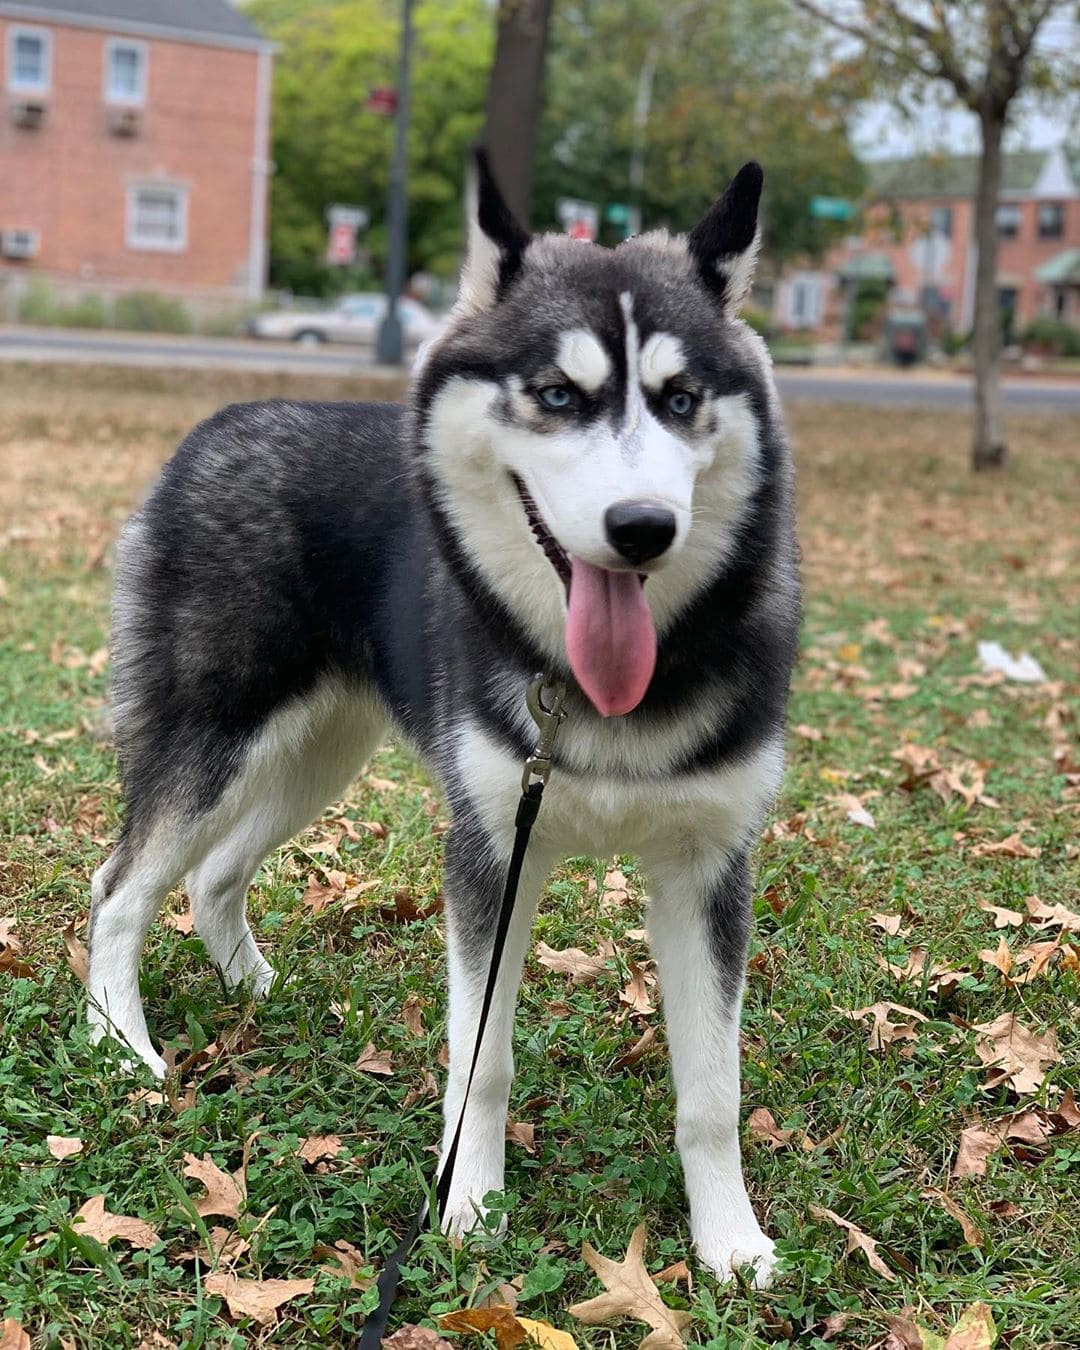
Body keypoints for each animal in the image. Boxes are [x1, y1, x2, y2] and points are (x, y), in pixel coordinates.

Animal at [88, 153, 799, 1279]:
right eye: (557, 394)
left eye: (682, 398)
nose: (643, 528)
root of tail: (220, 421)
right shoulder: (490, 850)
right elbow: (483, 1060)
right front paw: (469, 1209)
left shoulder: (708, 868)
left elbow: (712, 1093)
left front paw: (728, 1239)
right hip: (216, 737)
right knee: (118, 886)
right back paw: (123, 1046)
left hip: (315, 755)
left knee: (212, 874)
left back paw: (253, 986)